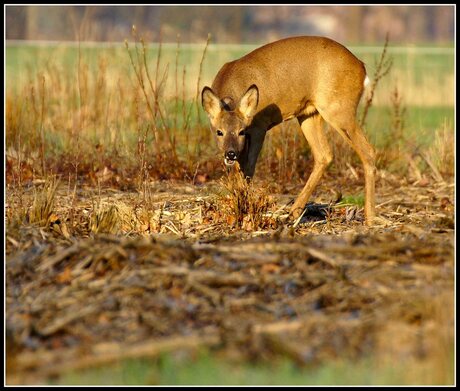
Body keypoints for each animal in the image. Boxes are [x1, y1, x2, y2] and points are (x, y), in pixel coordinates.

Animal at [203, 37, 376, 227]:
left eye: (242, 131)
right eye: (219, 131)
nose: (230, 153)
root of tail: (361, 67)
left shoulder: (258, 126)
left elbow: (248, 168)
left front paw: (244, 209)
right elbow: (237, 172)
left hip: (339, 109)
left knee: (368, 151)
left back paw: (370, 218)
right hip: (309, 114)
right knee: (324, 154)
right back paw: (293, 213)